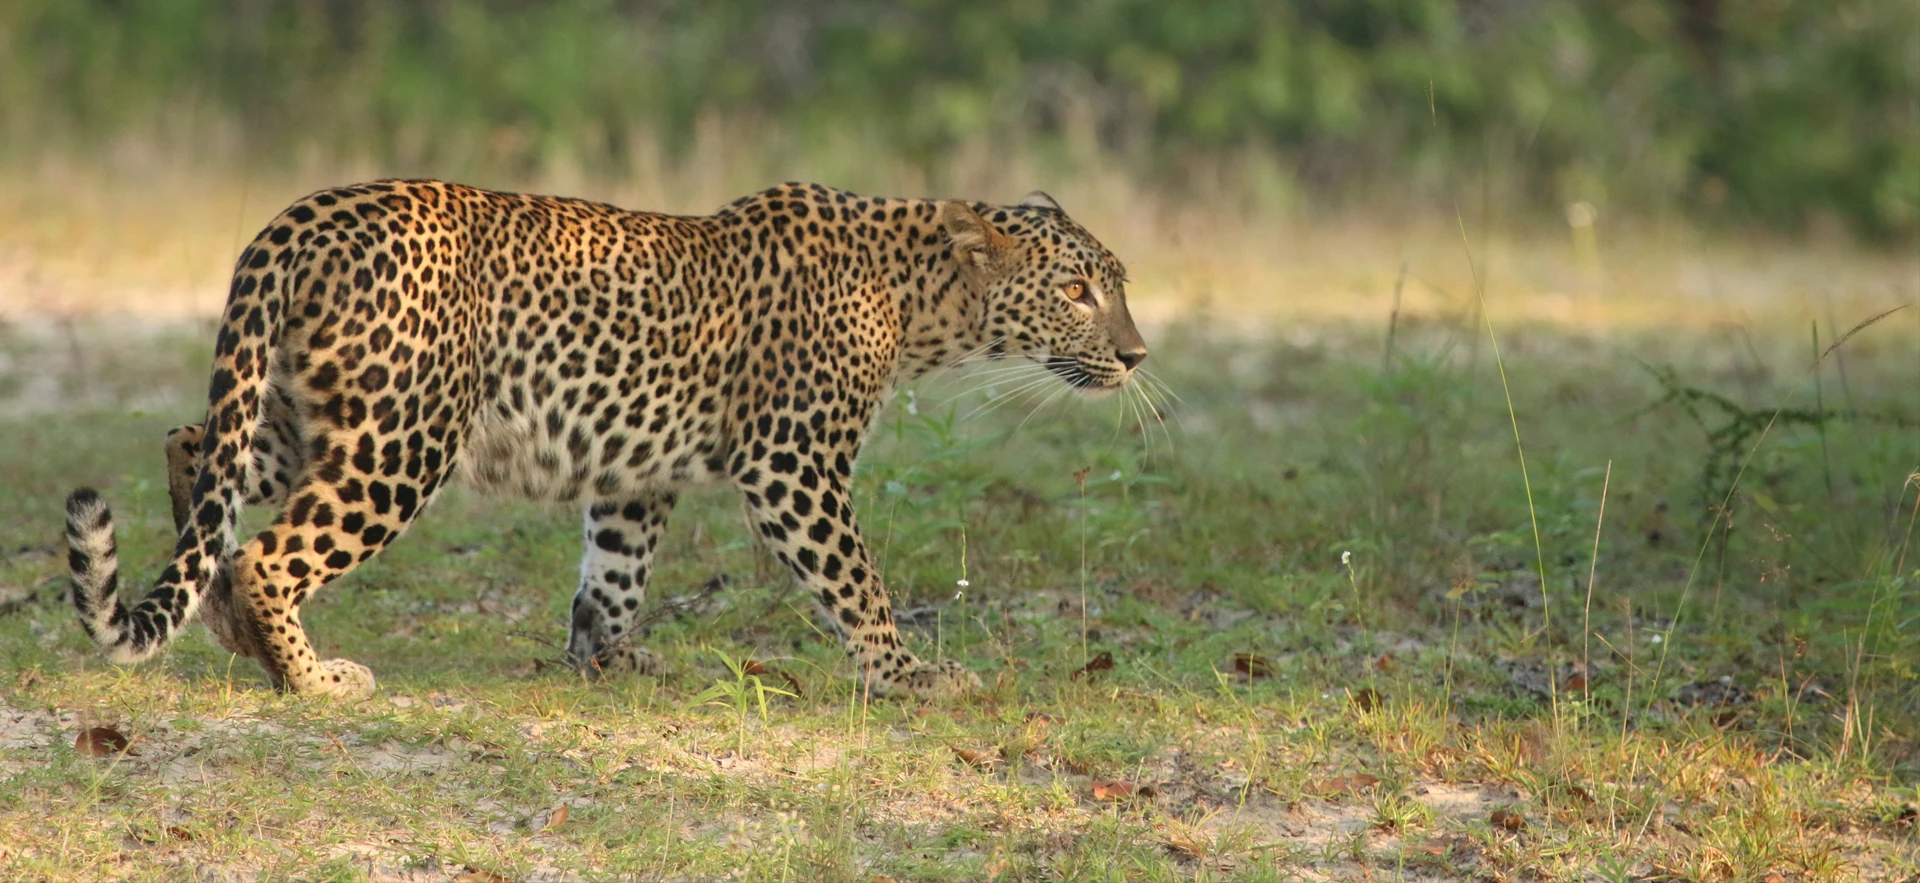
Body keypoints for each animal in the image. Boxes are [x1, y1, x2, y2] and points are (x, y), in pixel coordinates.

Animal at [63, 179, 1147, 699]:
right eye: (1076, 289)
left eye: (1116, 283)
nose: (1139, 353)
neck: (921, 299)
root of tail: (302, 218)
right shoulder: (794, 462)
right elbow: (856, 581)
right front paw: (908, 675)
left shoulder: (638, 468)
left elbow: (614, 570)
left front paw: (608, 659)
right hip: (402, 434)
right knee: (267, 550)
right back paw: (310, 676)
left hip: (301, 409)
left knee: (192, 446)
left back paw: (225, 623)